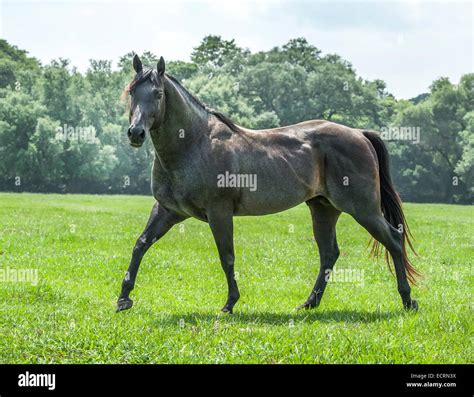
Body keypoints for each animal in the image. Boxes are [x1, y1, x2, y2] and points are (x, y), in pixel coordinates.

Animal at [116, 54, 420, 314]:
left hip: (363, 209)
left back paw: (407, 300)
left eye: (158, 94)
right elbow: (140, 245)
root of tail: (359, 133)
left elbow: (226, 256)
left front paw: (230, 303)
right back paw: (309, 303)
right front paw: (123, 299)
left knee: (393, 239)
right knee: (329, 253)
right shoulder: (168, 211)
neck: (194, 143)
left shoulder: (219, 212)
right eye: (132, 92)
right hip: (323, 208)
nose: (136, 133)